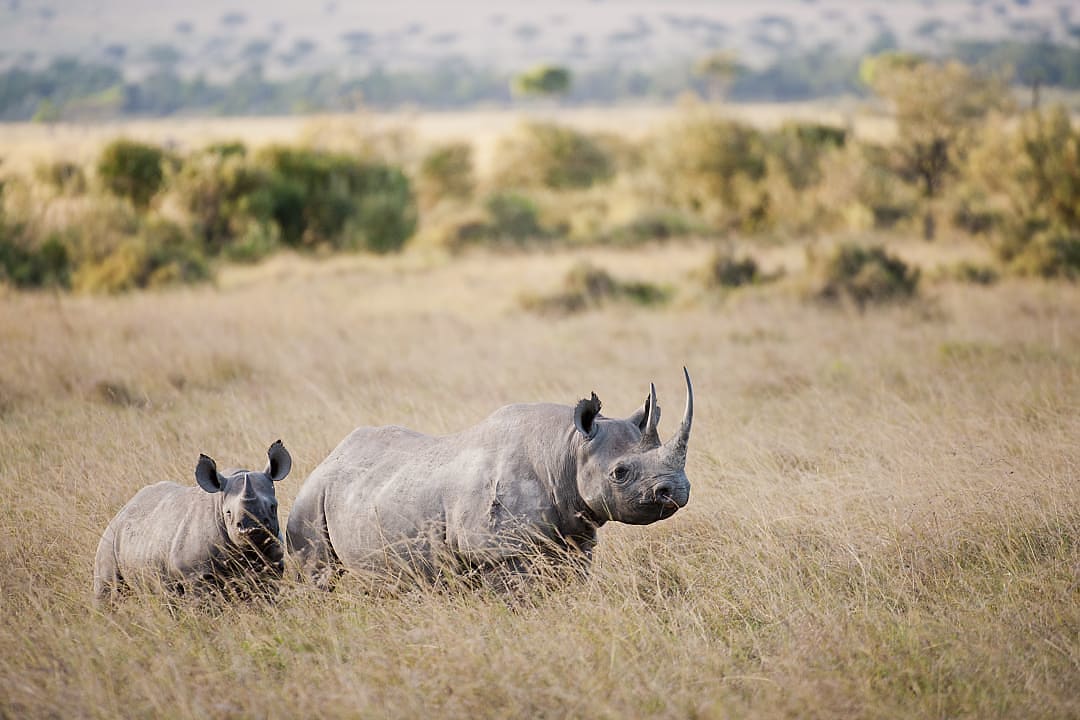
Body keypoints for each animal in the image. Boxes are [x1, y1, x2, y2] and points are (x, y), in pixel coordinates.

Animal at [93, 440, 292, 604]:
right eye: (228, 513)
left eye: (273, 507)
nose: (252, 529)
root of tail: (123, 509)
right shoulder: (195, 574)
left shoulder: (272, 564)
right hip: (109, 540)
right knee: (110, 591)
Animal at [287, 370, 693, 590]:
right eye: (620, 473)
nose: (678, 490)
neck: (567, 449)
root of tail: (327, 459)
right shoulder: (497, 549)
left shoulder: (575, 537)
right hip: (310, 498)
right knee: (319, 574)